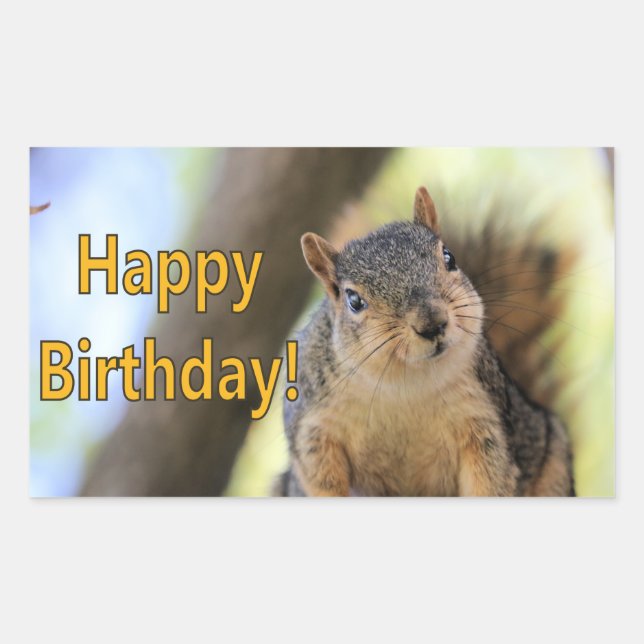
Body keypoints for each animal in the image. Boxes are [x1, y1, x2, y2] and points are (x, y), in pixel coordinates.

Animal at [274, 186, 575, 497]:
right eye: (354, 300)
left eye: (449, 257)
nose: (432, 323)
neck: (404, 384)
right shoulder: (314, 432)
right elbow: (321, 482)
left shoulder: (483, 422)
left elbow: (490, 478)